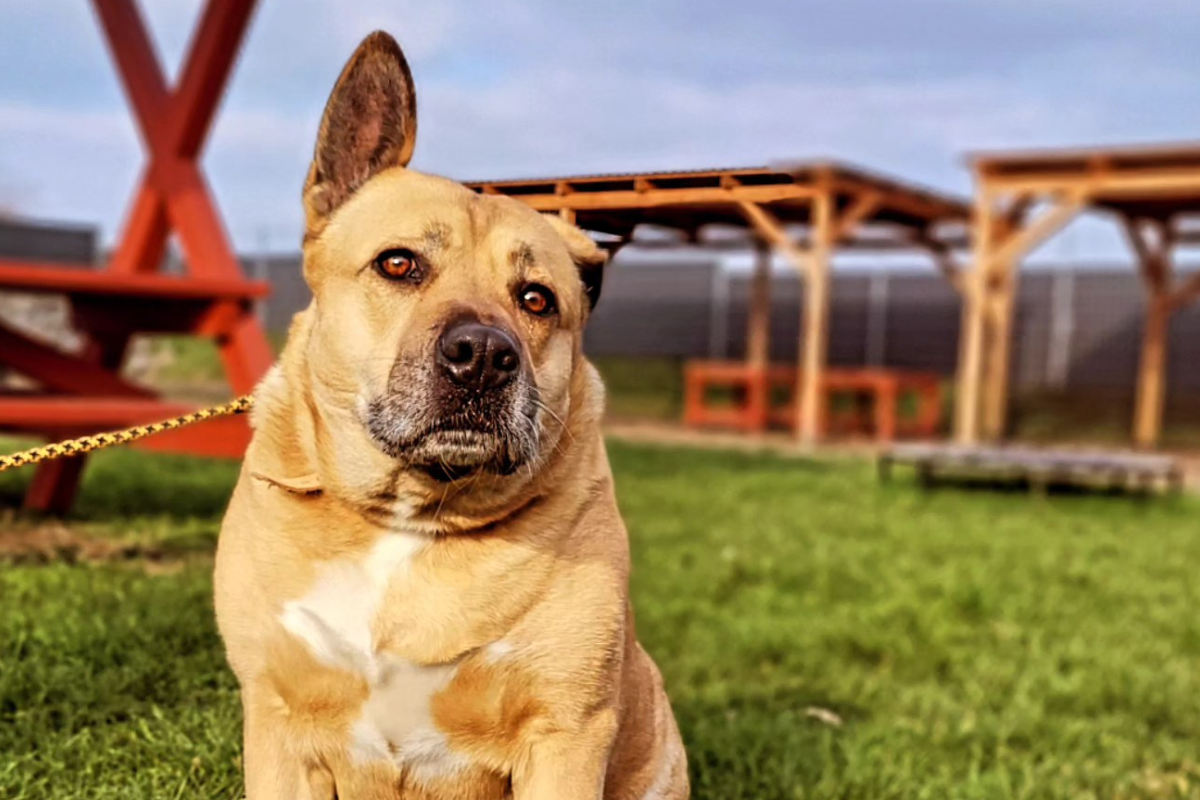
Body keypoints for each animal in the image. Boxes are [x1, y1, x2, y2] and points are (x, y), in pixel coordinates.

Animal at [211, 31, 691, 800]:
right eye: (398, 263)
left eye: (536, 299)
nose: (485, 355)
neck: (413, 518)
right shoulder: (278, 721)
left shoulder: (567, 732)